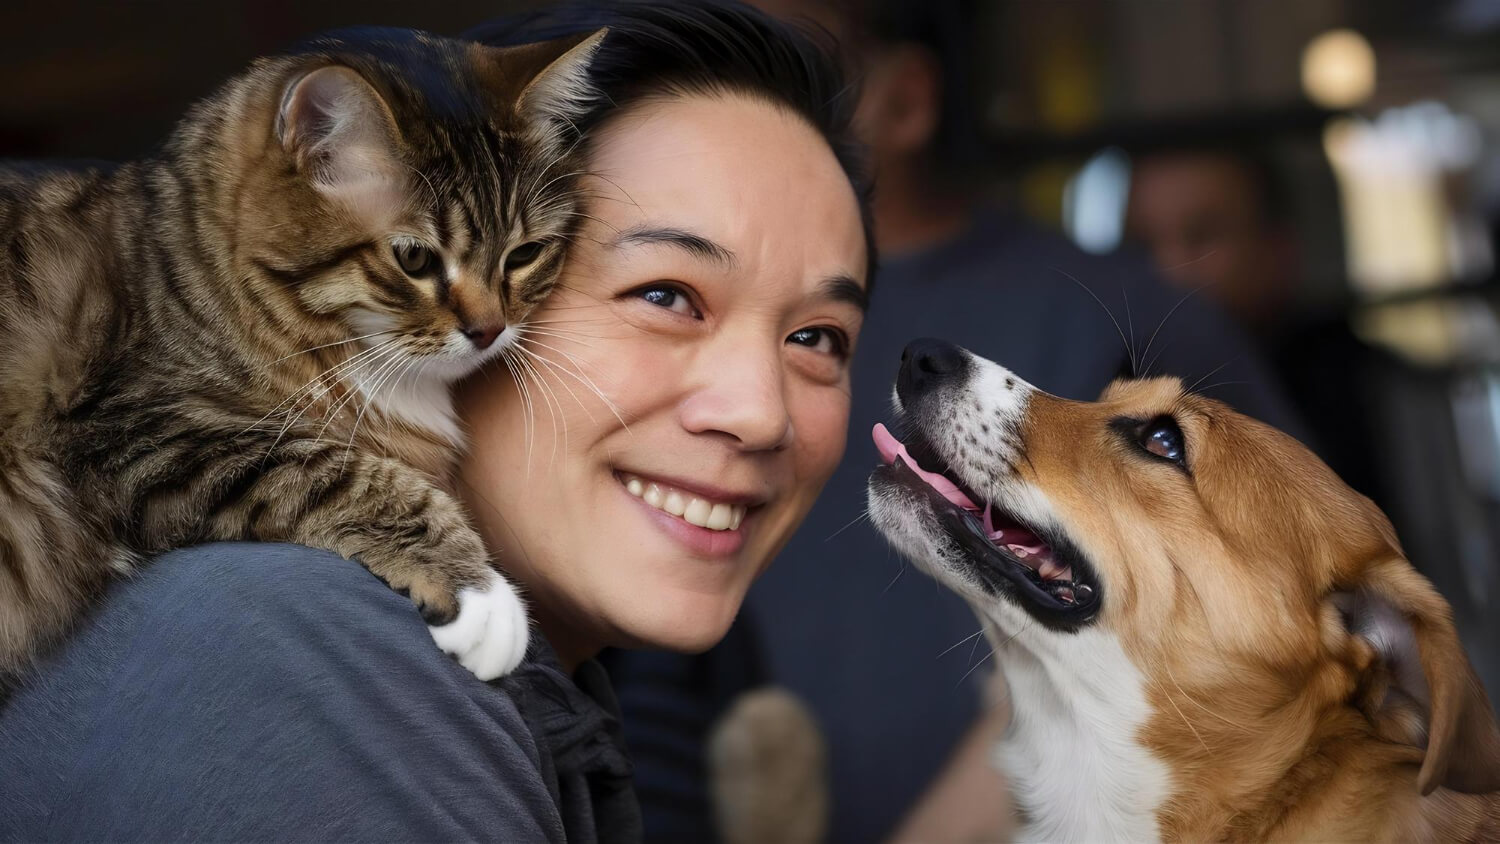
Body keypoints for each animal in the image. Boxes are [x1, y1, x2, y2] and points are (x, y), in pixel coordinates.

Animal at [1, 26, 609, 686]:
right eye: (414, 259)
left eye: (524, 255)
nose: (489, 330)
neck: (178, 278)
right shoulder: (134, 427)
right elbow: (339, 474)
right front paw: (481, 592)